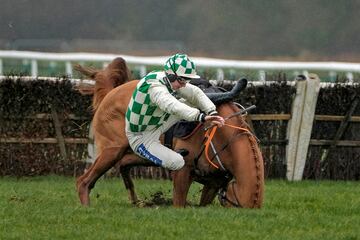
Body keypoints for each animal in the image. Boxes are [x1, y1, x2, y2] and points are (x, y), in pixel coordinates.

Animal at [75, 57, 264, 208]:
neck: (222, 138)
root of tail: (110, 93)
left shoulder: (213, 181)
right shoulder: (183, 171)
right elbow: (179, 202)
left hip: (141, 151)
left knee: (123, 164)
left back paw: (137, 201)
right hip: (113, 149)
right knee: (84, 181)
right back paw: (86, 206)